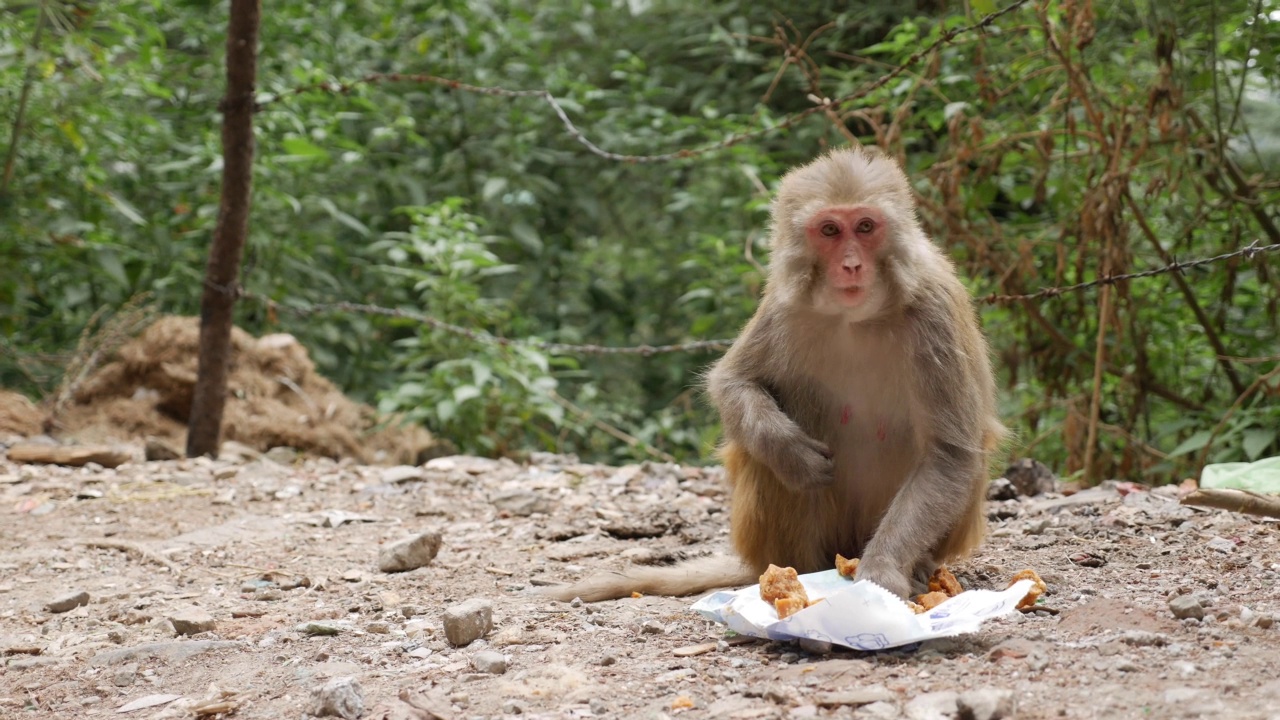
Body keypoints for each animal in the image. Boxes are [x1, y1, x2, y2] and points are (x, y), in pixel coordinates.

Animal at [545, 146, 1003, 599]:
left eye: (866, 226)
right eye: (830, 230)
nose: (852, 265)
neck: (856, 318)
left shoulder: (935, 314)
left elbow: (948, 454)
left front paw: (882, 572)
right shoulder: (784, 303)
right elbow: (734, 382)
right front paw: (791, 453)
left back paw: (915, 566)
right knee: (774, 441)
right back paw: (798, 563)